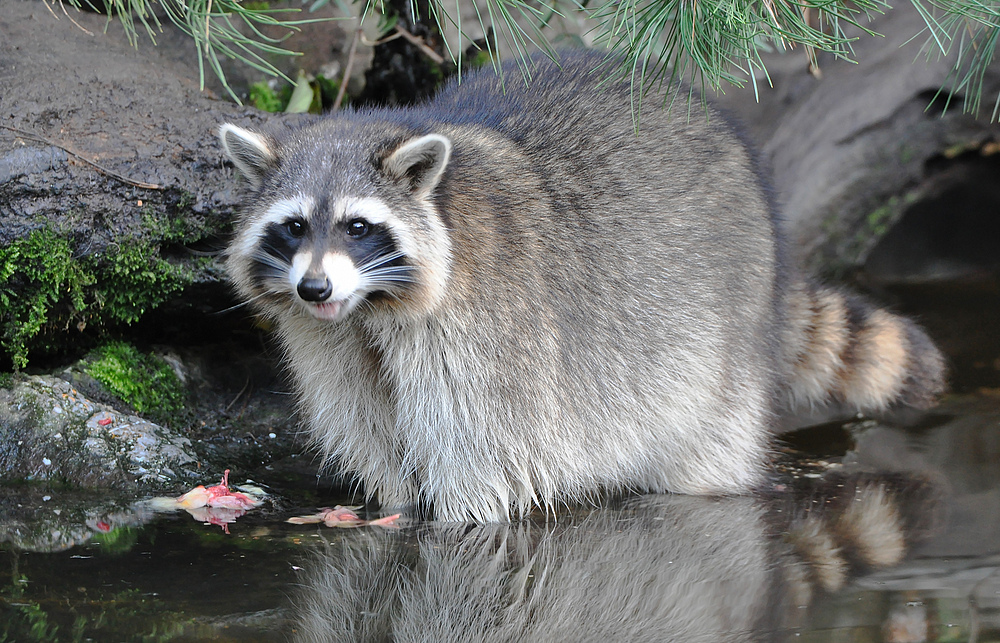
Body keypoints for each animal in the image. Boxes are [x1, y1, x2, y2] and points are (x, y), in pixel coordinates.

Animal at [219, 50, 944, 524]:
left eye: (358, 226)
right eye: (292, 227)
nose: (314, 288)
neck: (368, 308)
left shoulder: (488, 338)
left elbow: (478, 462)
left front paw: (450, 517)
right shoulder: (333, 346)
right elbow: (374, 433)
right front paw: (391, 501)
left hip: (722, 352)